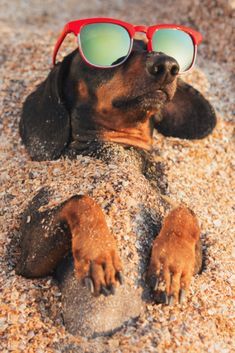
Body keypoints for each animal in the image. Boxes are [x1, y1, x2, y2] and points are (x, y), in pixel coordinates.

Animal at [15, 37, 216, 336]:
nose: (168, 66)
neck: (119, 150)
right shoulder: (28, 258)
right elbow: (81, 200)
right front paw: (99, 254)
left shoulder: (199, 257)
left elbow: (185, 211)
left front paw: (172, 266)